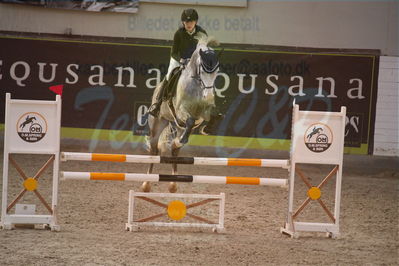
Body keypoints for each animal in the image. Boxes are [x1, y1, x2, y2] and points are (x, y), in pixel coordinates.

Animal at [142, 34, 222, 193]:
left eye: (217, 72)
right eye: (202, 71)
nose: (209, 95)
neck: (196, 85)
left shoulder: (202, 113)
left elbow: (214, 115)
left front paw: (208, 128)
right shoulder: (180, 110)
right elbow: (190, 119)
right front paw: (185, 137)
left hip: (177, 126)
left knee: (174, 149)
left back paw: (173, 184)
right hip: (158, 122)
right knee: (154, 150)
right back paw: (146, 184)